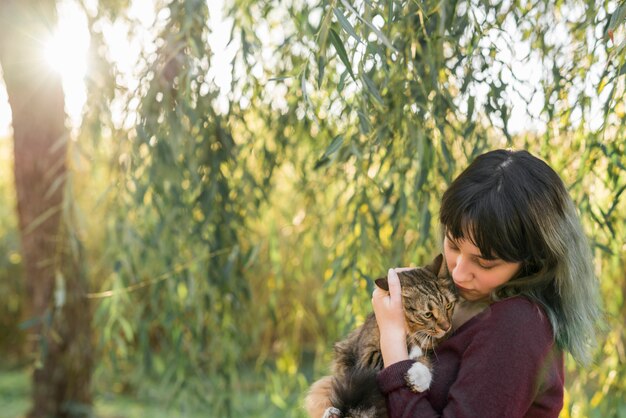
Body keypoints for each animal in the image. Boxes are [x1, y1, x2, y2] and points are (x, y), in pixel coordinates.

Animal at [304, 255, 456, 418]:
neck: (410, 332)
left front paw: (419, 377)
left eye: (448, 306)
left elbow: (424, 357)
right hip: (324, 385)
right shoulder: (367, 361)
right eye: (428, 314)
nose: (447, 327)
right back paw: (332, 413)